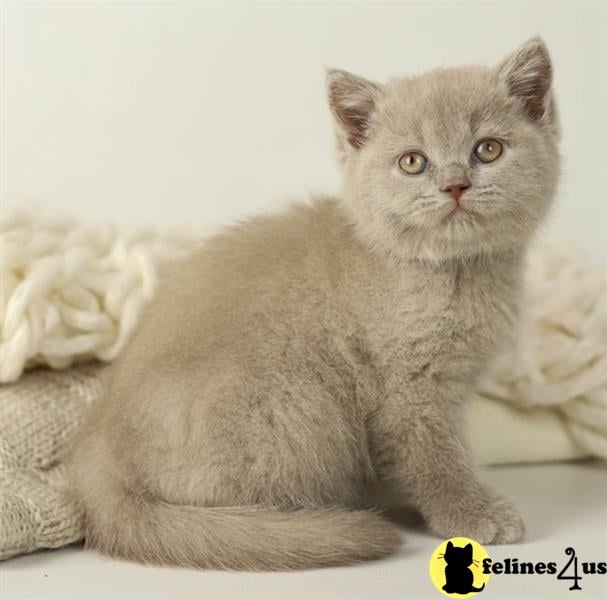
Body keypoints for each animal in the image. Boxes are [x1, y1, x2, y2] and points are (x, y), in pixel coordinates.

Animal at [66, 38, 560, 572]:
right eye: (413, 162)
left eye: (488, 149)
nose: (454, 184)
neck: (453, 273)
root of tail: (97, 466)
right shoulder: (410, 391)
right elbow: (435, 459)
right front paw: (472, 515)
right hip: (301, 402)